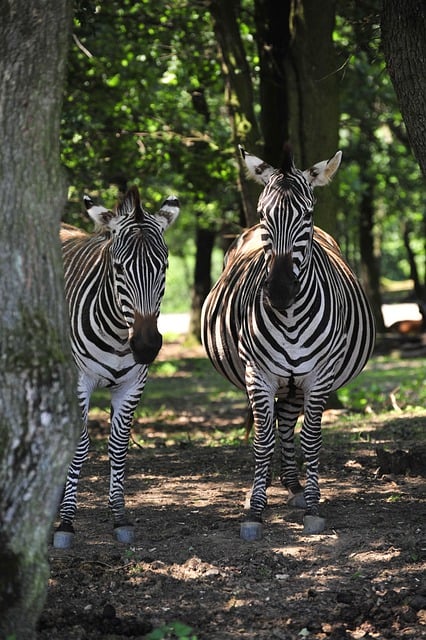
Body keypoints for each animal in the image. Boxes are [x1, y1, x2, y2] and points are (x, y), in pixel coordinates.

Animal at [54, 186, 179, 552]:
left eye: (164, 266)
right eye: (120, 268)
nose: (147, 346)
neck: (118, 334)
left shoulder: (133, 386)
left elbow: (118, 447)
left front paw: (119, 517)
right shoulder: (79, 381)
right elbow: (79, 446)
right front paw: (65, 523)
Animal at [201, 146, 374, 540]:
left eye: (307, 214)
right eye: (263, 214)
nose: (280, 292)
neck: (291, 319)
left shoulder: (319, 376)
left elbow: (310, 438)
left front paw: (312, 506)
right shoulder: (258, 374)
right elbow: (262, 440)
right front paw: (255, 510)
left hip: (297, 382)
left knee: (287, 420)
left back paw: (295, 485)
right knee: (271, 425)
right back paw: (268, 485)